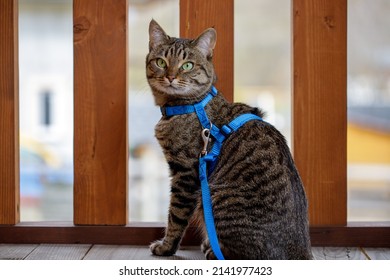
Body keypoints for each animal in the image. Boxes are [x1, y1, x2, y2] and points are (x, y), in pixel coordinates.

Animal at [145, 19, 312, 260]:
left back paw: (214, 252)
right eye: (160, 62)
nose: (170, 76)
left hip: (218, 196)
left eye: (187, 65)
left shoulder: (186, 174)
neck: (186, 106)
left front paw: (166, 247)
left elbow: (175, 216)